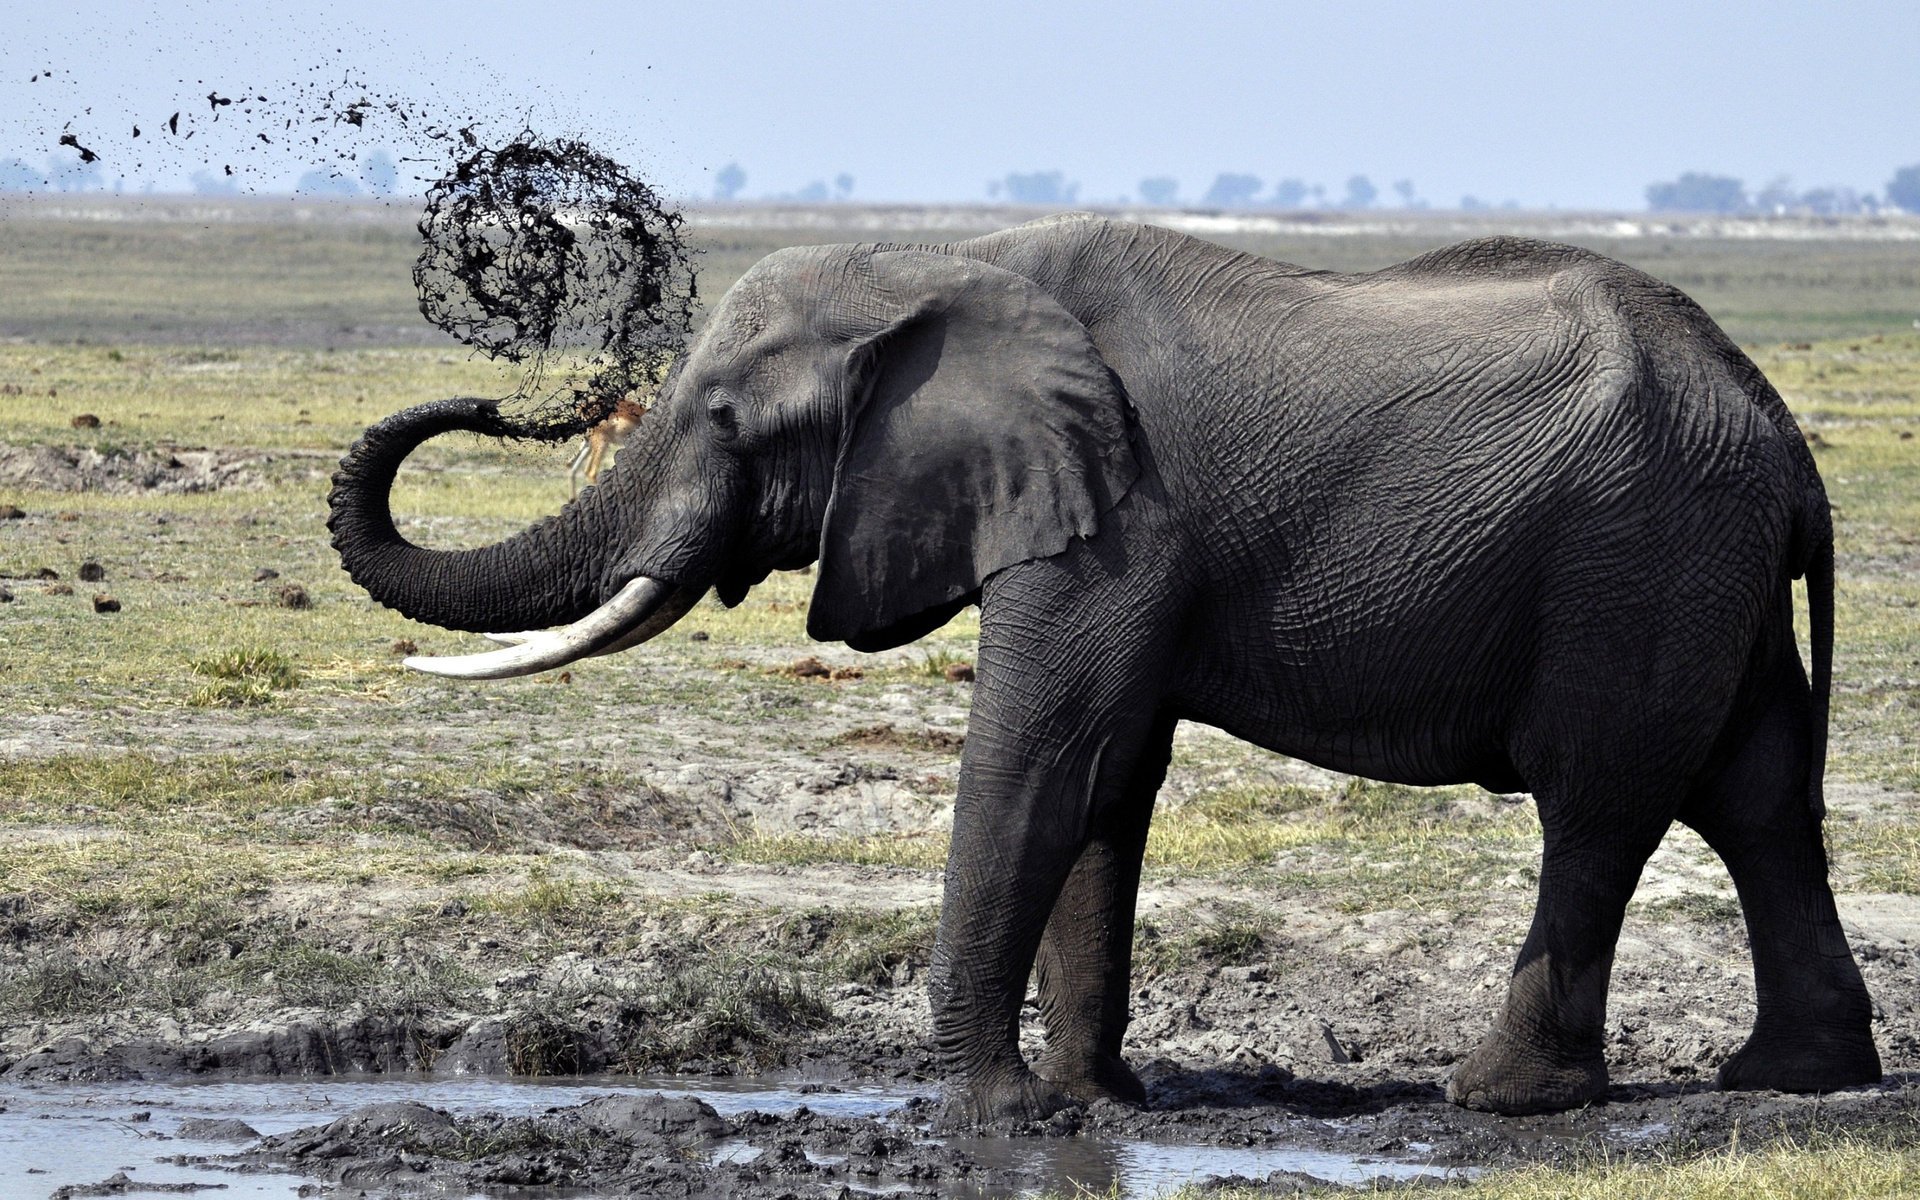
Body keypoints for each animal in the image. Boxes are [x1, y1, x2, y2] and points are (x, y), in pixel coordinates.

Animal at [328, 213, 1881, 1121]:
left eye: (722, 418)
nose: (510, 399)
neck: (942, 262)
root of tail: (1784, 436)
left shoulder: (1114, 514)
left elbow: (1041, 755)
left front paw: (986, 1114)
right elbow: (1104, 778)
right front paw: (1092, 1104)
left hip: (1639, 558)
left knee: (1601, 803)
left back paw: (1497, 1100)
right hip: (1703, 563)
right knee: (1756, 799)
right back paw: (1793, 1080)